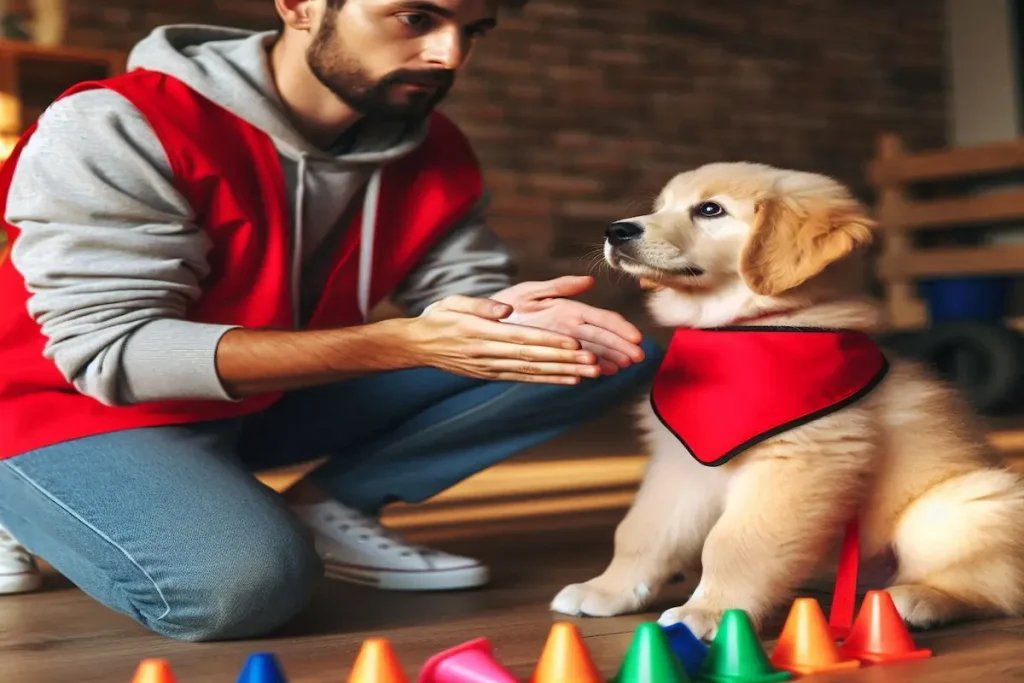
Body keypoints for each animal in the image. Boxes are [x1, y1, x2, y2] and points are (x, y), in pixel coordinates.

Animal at [557, 160, 1024, 643]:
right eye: (660, 207)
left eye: (710, 209)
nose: (616, 230)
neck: (744, 329)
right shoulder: (680, 461)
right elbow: (642, 531)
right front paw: (608, 590)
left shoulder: (798, 461)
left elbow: (733, 544)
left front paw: (710, 612)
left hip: (960, 505)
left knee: (995, 589)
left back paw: (917, 599)